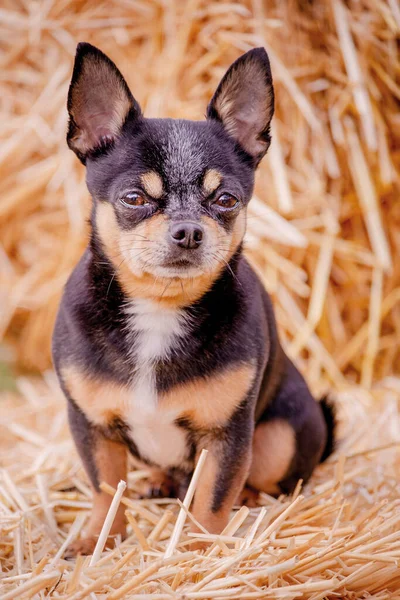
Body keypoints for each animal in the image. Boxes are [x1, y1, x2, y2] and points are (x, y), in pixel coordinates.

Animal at [53, 42, 334, 556]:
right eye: (133, 198)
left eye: (226, 200)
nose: (188, 231)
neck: (159, 308)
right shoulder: (93, 428)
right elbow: (106, 490)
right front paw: (99, 541)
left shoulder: (226, 437)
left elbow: (213, 500)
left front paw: (204, 553)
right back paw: (159, 482)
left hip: (280, 436)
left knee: (264, 480)